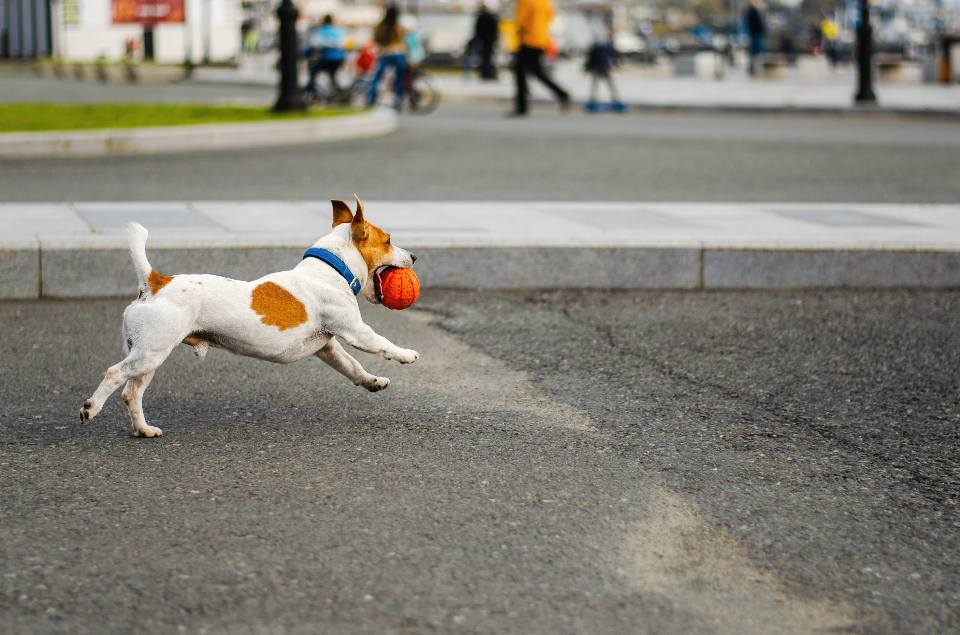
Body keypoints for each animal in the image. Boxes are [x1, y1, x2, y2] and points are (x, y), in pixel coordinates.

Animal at [78, 196, 416, 440]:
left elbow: (353, 367)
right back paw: (90, 409)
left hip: (148, 356)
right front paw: (407, 354)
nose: (414, 257)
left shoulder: (327, 348)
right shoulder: (355, 330)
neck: (330, 269)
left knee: (131, 393)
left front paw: (374, 382)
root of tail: (155, 282)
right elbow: (382, 343)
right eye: (388, 240)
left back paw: (144, 430)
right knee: (114, 374)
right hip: (151, 353)